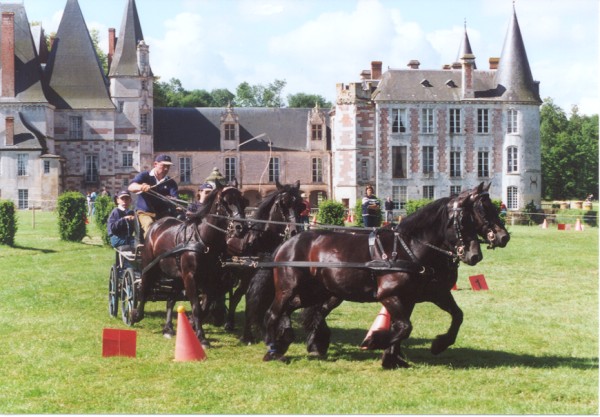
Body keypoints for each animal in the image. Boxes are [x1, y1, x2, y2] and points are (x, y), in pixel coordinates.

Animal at [133, 182, 248, 344]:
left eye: (243, 202)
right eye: (224, 202)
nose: (241, 227)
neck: (203, 241)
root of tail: (157, 225)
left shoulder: (212, 279)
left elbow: (205, 305)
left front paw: (193, 324)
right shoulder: (190, 276)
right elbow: (197, 307)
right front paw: (201, 337)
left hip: (177, 276)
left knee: (170, 299)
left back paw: (168, 328)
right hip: (150, 267)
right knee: (144, 289)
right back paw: (136, 315)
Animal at [262, 189, 482, 368]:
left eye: (475, 220)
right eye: (463, 222)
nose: (475, 255)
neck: (406, 248)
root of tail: (287, 243)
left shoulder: (424, 295)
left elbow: (456, 315)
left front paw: (433, 346)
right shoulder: (389, 295)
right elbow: (404, 327)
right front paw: (375, 342)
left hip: (314, 292)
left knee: (297, 311)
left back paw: (289, 340)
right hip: (288, 289)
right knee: (273, 313)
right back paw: (273, 350)